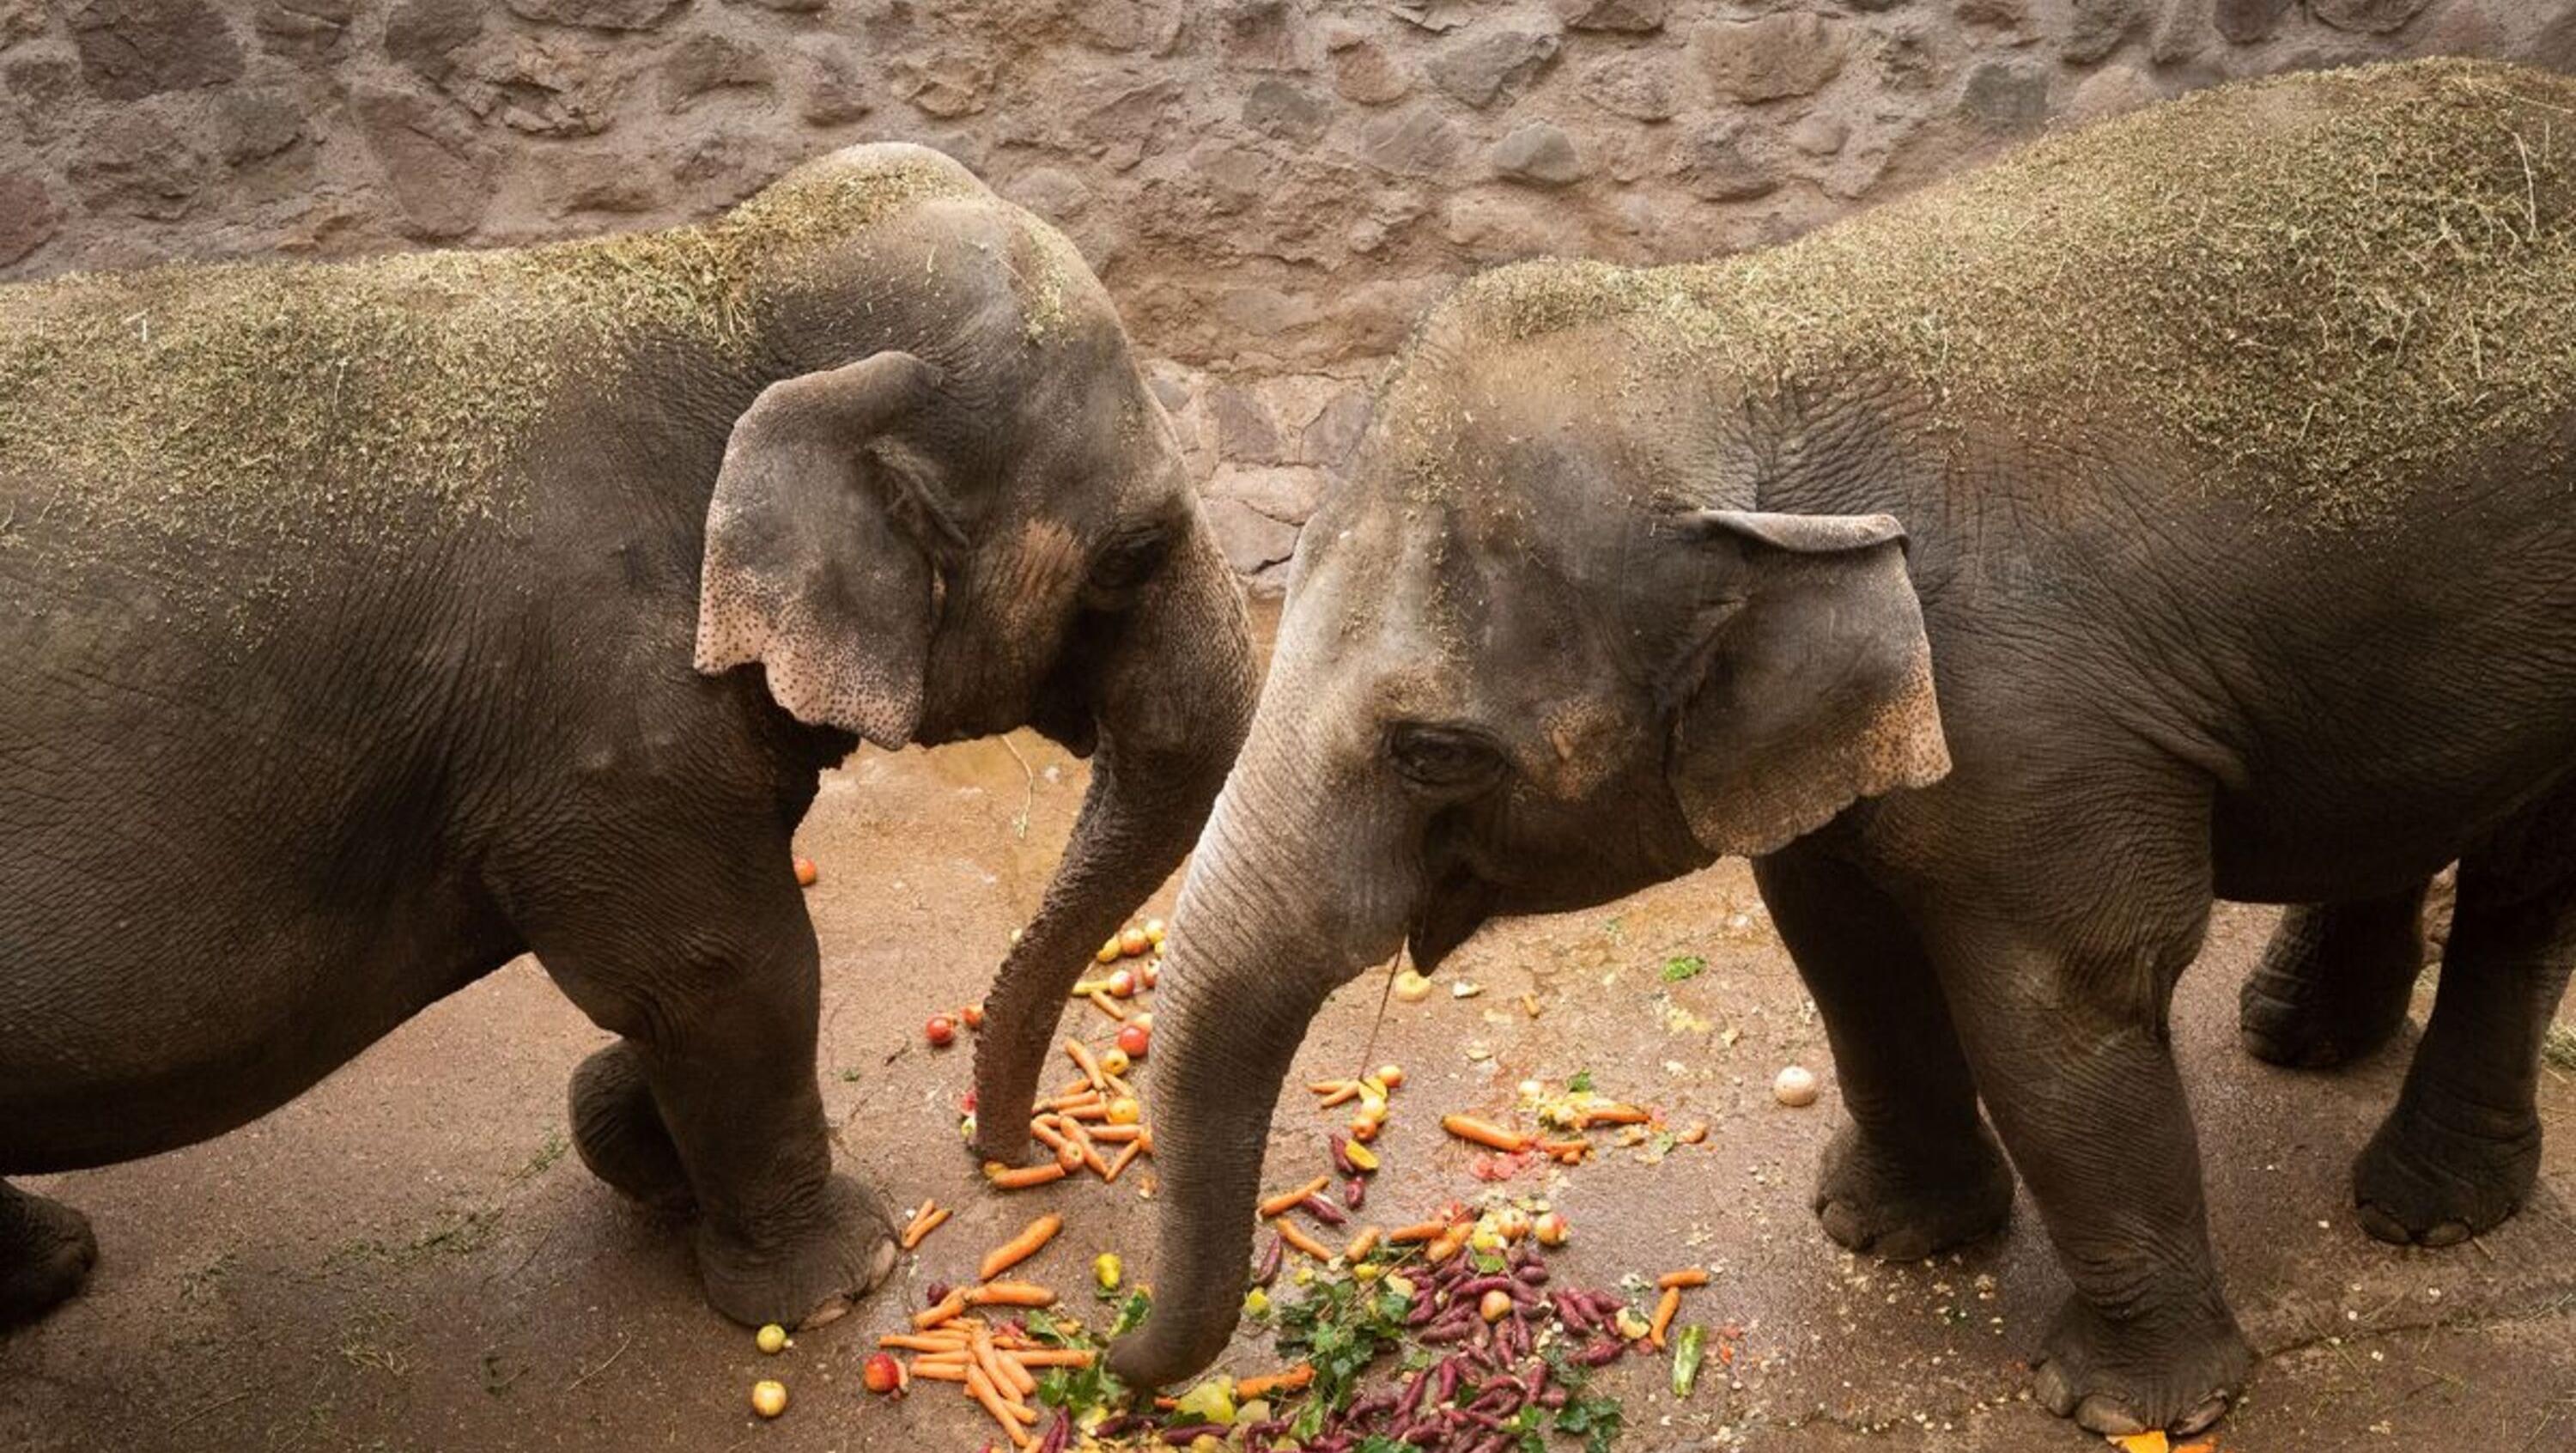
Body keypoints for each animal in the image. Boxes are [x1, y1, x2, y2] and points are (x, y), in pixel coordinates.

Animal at [0, 142, 1252, 1329]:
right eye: (1136, 554)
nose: (1019, 1155)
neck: (717, 280)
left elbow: (688, 988)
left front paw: (640, 1144)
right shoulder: (602, 709)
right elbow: (725, 970)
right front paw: (841, 1276)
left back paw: (56, 1266)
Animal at [1103, 59, 2576, 1443]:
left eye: (1432, 753)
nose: (1115, 1366)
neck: (1748, 335)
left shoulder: (2042, 721)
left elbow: (2061, 1005)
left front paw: (2131, 1407)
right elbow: (1840, 940)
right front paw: (1881, 1235)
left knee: (2526, 890)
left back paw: (2426, 1211)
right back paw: (2298, 1038)